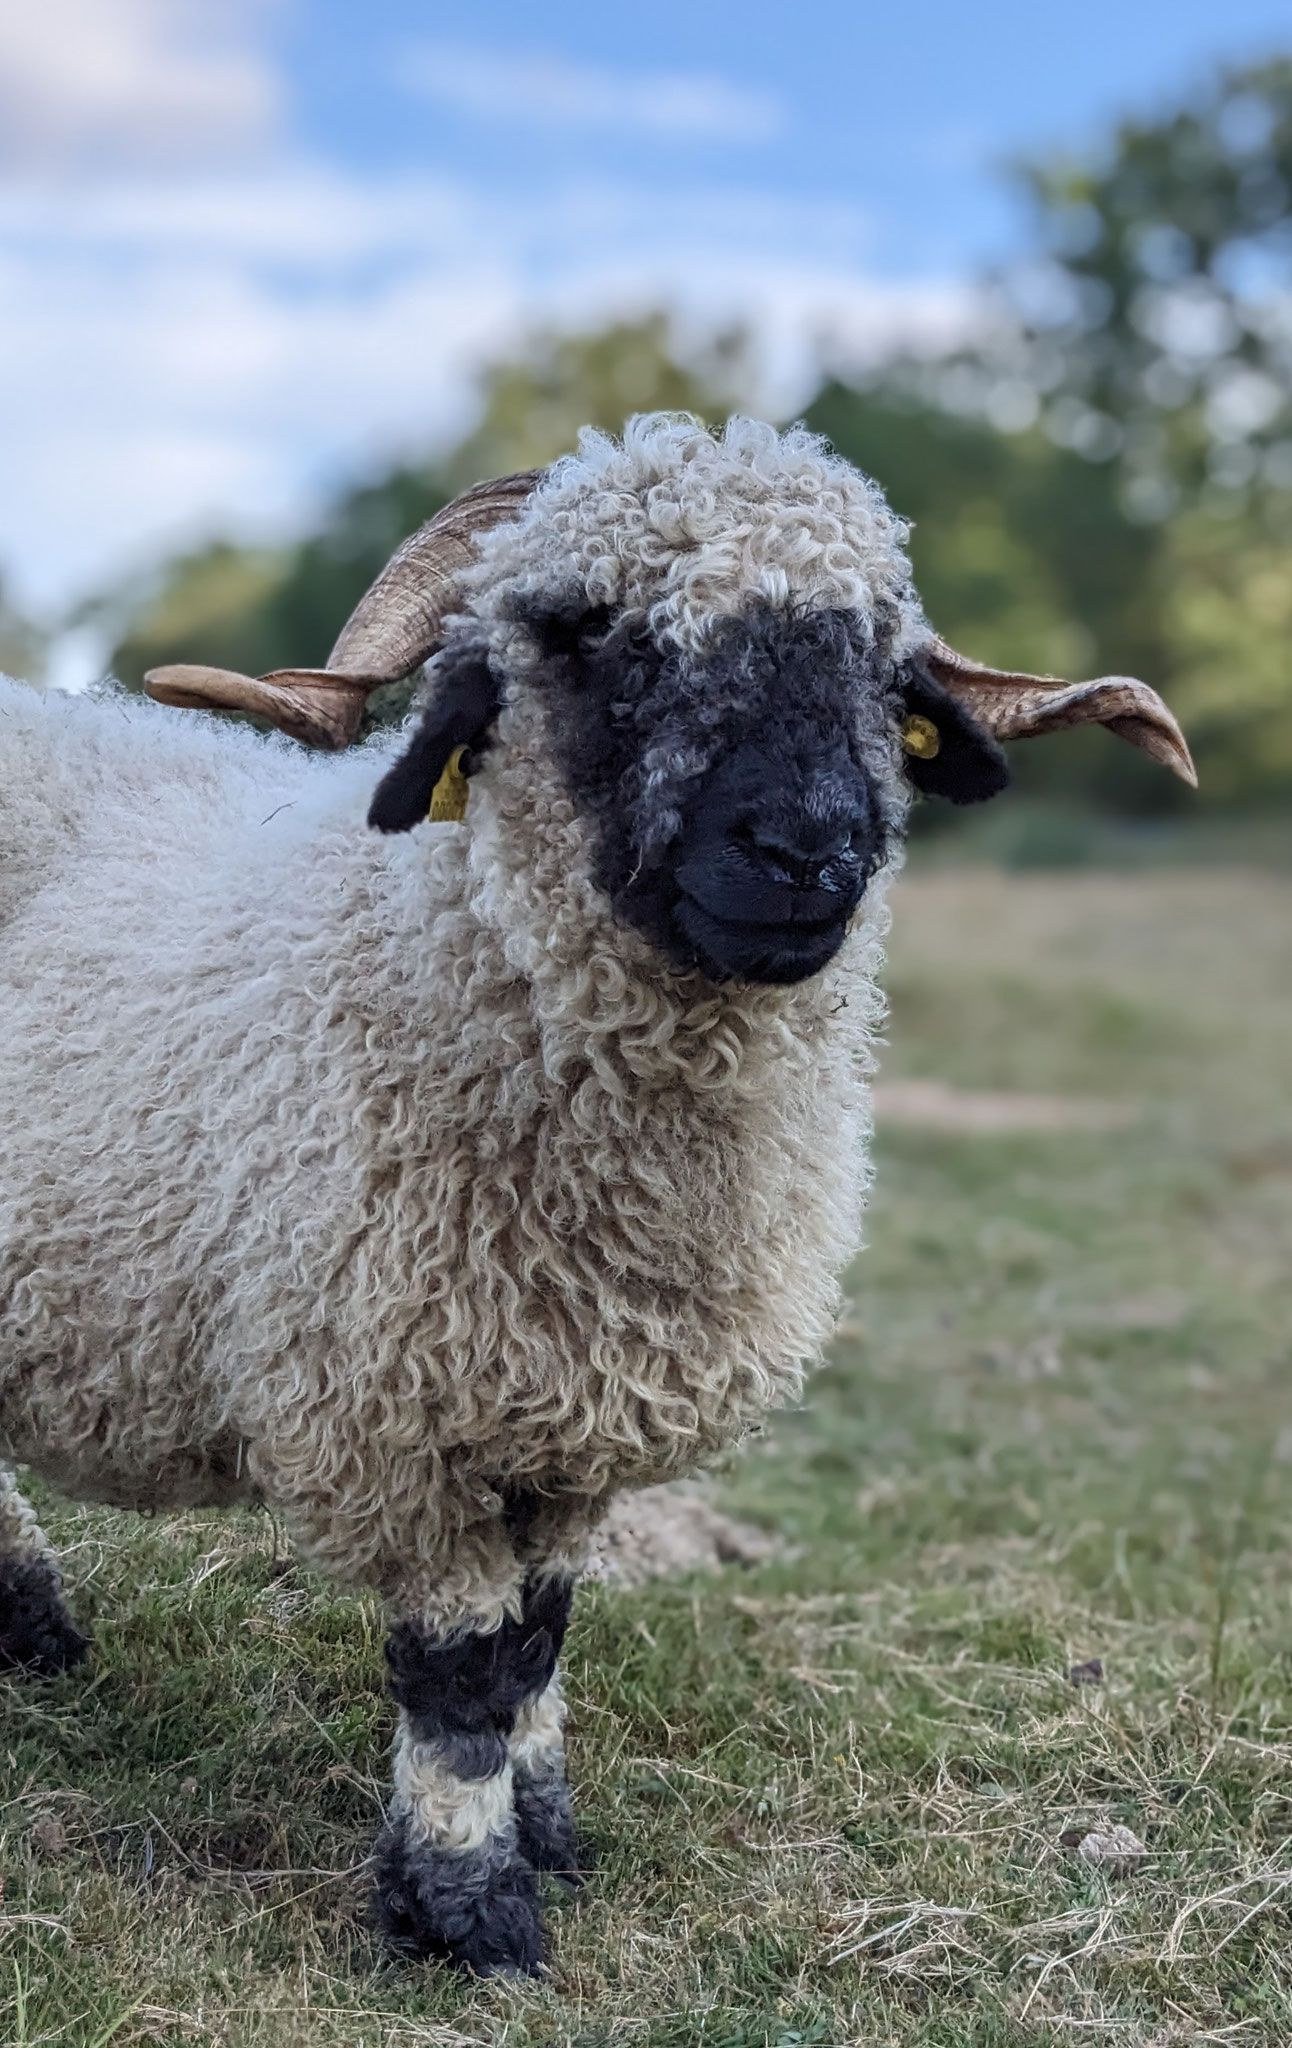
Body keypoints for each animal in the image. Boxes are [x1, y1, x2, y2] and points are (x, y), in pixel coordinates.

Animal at [0, 414, 1195, 1976]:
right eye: (584, 630)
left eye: (882, 662)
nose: (807, 854)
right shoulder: (404, 1419)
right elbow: (461, 1676)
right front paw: (468, 1910)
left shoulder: (571, 1413)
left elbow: (538, 1643)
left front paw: (548, 1833)